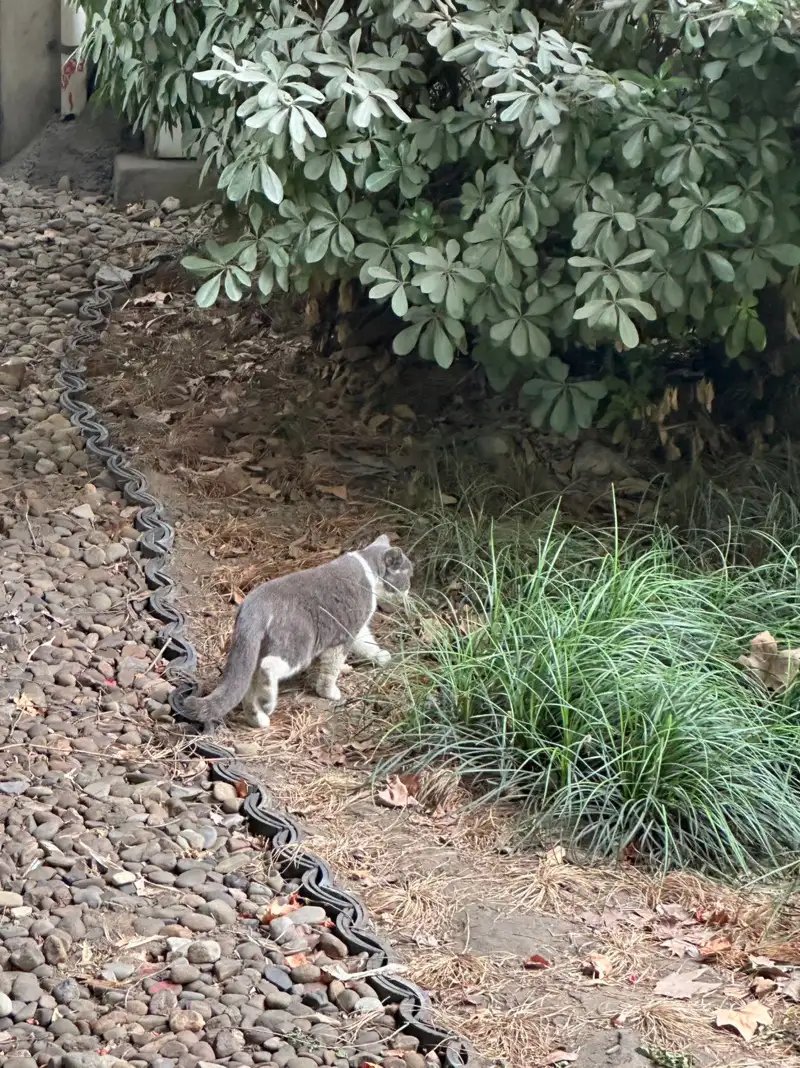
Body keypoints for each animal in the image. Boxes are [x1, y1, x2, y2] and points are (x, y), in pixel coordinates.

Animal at [180, 534, 412, 726]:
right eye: (408, 576)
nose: (409, 590)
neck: (369, 572)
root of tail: (253, 606)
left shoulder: (358, 628)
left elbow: (366, 642)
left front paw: (381, 656)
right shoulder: (344, 633)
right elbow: (332, 669)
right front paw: (330, 692)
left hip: (254, 651)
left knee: (248, 689)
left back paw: (260, 719)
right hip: (299, 644)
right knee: (268, 667)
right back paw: (268, 701)